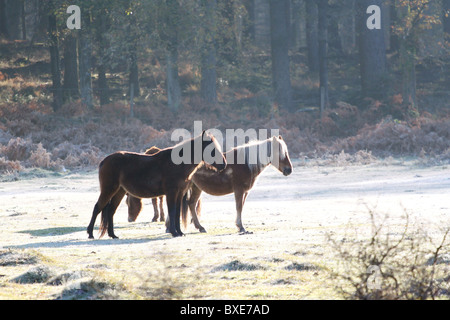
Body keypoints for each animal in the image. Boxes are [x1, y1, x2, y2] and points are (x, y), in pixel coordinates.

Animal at [85, 130, 225, 238]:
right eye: (212, 150)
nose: (223, 164)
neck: (177, 164)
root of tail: (104, 161)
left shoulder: (179, 193)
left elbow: (177, 212)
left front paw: (180, 232)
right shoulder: (171, 193)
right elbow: (172, 211)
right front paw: (174, 232)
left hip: (119, 191)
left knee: (110, 211)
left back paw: (113, 235)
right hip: (108, 190)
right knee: (98, 207)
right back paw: (90, 233)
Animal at [127, 136, 296, 235]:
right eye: (280, 153)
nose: (289, 170)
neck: (246, 163)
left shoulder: (245, 192)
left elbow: (241, 207)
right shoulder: (239, 190)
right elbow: (238, 207)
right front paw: (241, 227)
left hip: (195, 189)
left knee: (190, 204)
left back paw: (195, 227)